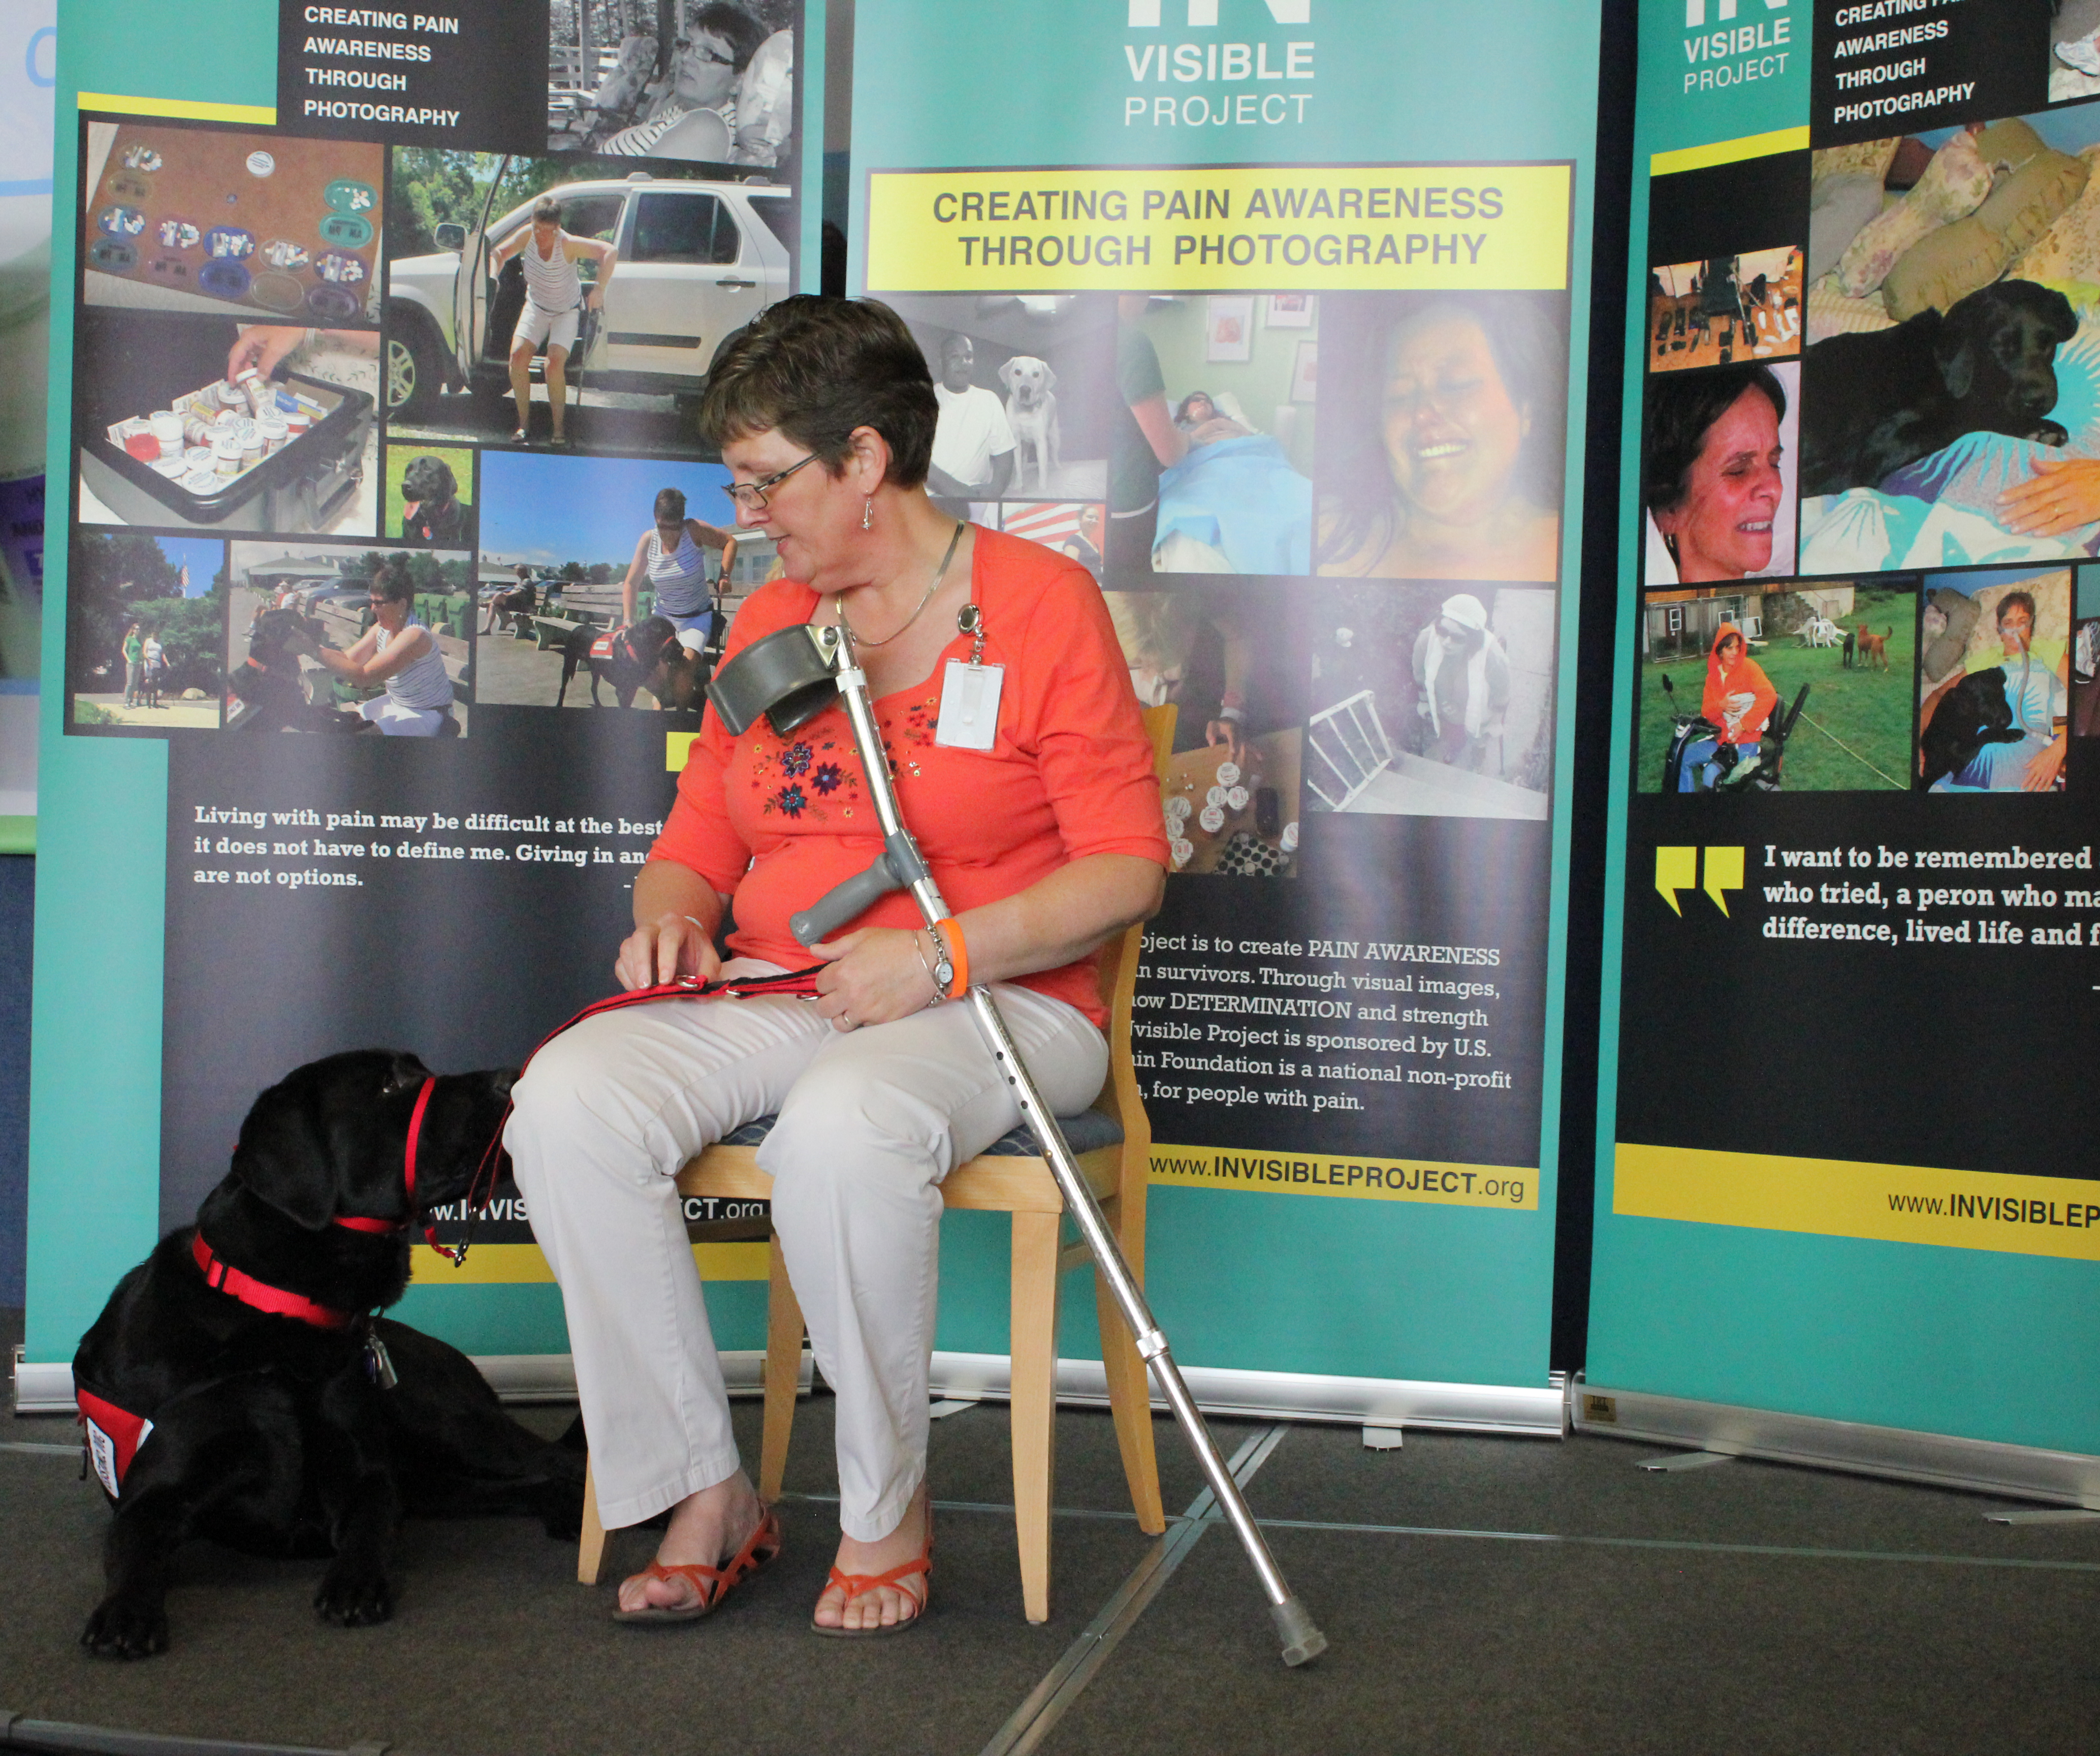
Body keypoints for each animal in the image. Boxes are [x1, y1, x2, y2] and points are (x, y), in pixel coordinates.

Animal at [73, 1054, 579, 1664]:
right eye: (392, 1082)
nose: (513, 1077)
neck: (278, 1317)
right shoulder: (153, 1494)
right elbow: (133, 1548)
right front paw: (125, 1613)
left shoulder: (366, 1473)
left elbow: (371, 1526)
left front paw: (354, 1582)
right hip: (436, 1474)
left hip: (452, 1427)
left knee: (561, 1460)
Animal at [1797, 281, 2075, 497]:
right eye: (2001, 346)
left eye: (2049, 342)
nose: (2038, 400)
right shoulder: (1888, 439)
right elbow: (1970, 420)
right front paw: (2041, 429)